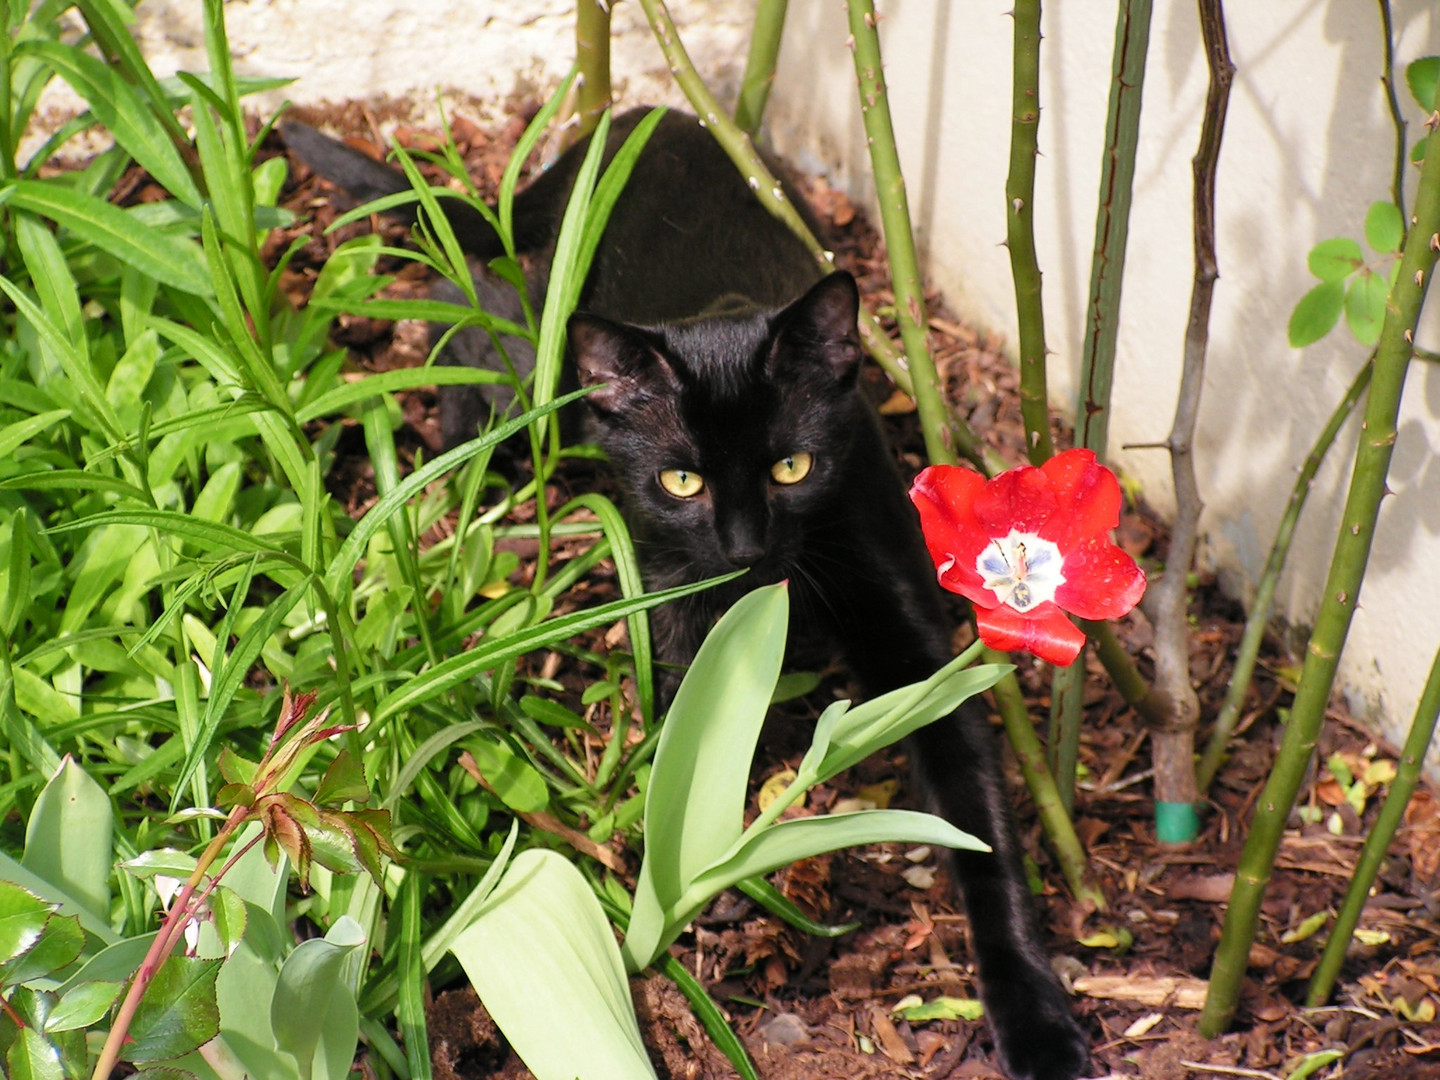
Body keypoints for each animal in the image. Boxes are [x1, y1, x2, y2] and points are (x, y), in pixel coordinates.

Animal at [280, 108, 1088, 1080]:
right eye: (680, 482)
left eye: (792, 467)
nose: (742, 548)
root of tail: (629, 118)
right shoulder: (675, 609)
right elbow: (691, 747)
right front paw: (715, 877)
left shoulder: (910, 633)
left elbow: (983, 824)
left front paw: (1037, 1019)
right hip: (543, 360)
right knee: (479, 331)